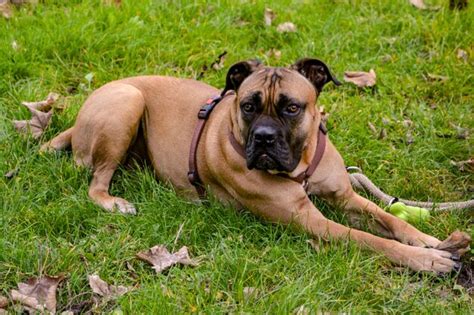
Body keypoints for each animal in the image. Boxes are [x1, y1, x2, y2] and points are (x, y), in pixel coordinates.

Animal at [42, 58, 468, 274]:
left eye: (291, 107)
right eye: (248, 105)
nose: (263, 137)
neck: (299, 165)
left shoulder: (345, 196)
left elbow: (390, 219)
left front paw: (430, 241)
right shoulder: (312, 221)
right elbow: (371, 240)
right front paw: (428, 261)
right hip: (126, 103)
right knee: (96, 182)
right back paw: (113, 202)